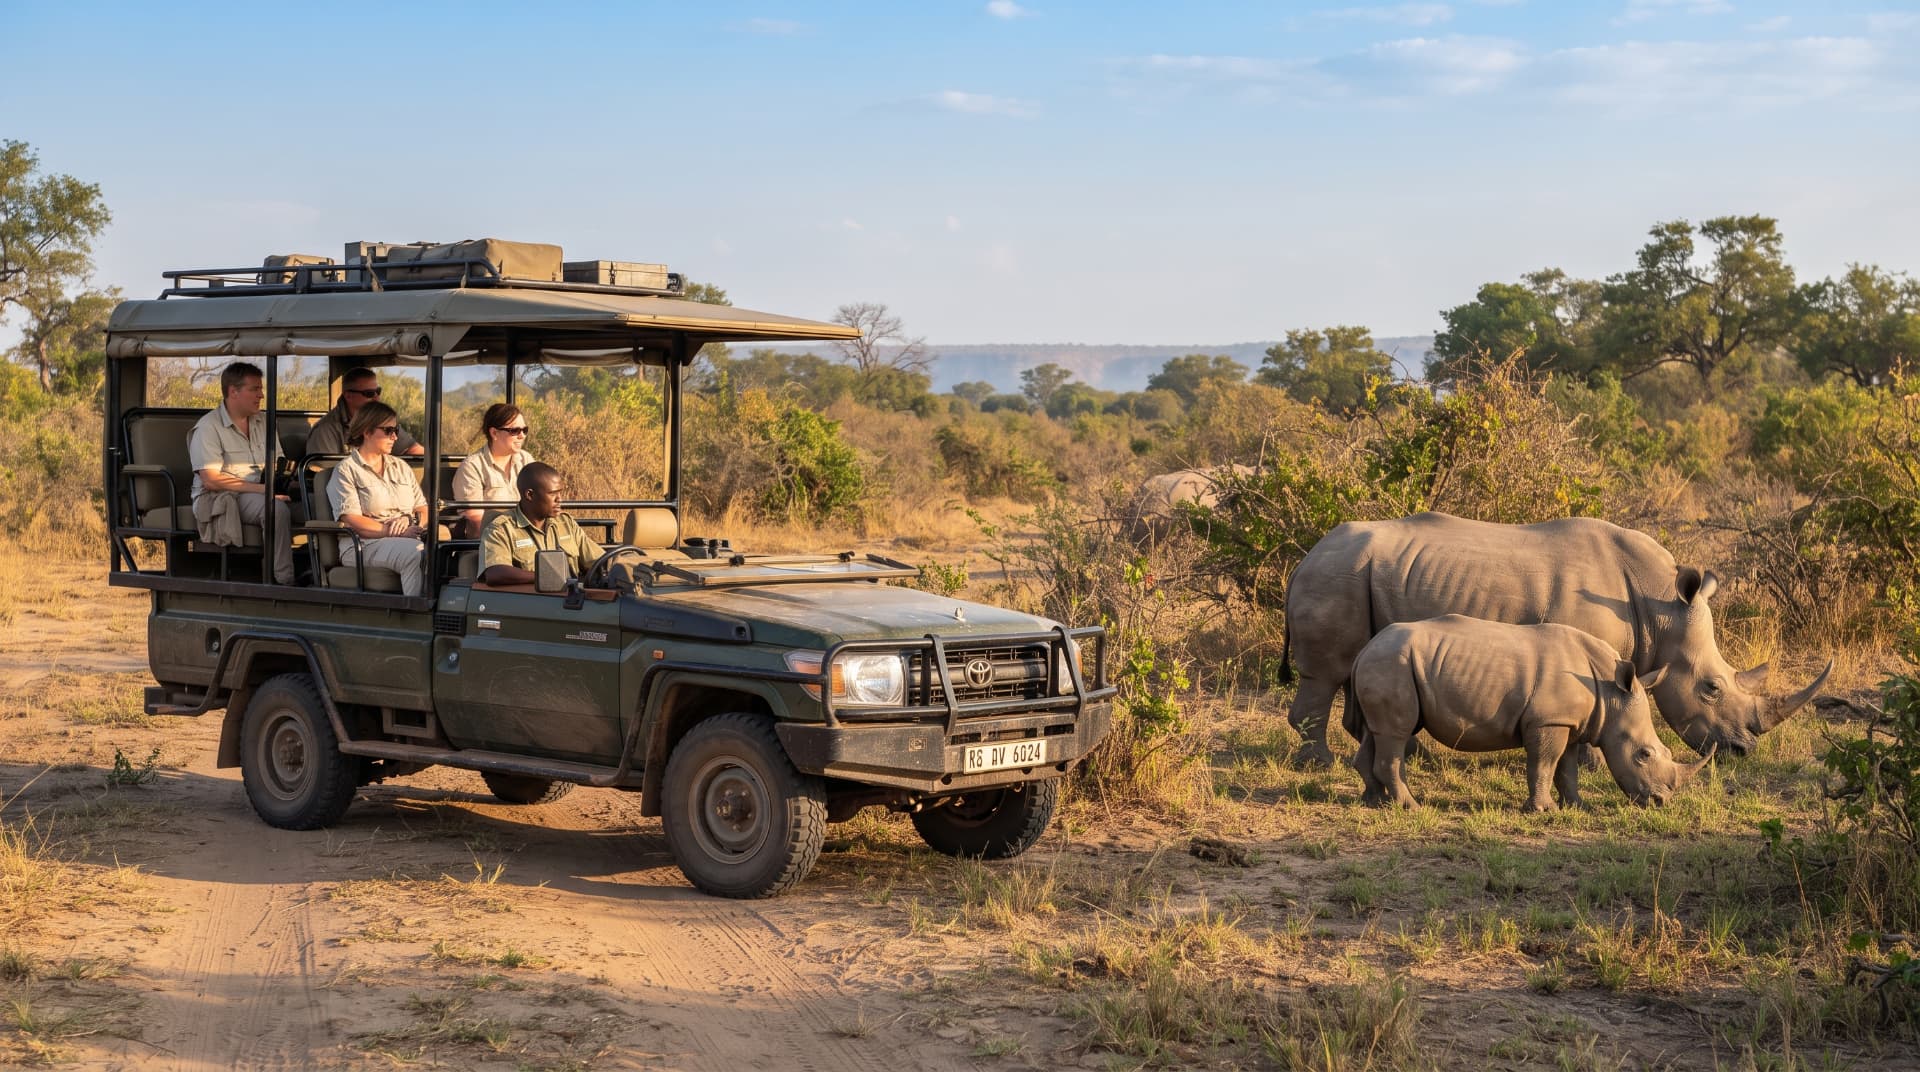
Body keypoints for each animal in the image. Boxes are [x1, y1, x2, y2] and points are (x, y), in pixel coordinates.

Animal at [1284, 512, 1831, 768]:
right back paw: (1322, 764)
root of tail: (1304, 558)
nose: (1743, 750)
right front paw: (1593, 763)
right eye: (1711, 688)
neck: (1662, 609)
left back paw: (1414, 756)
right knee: (1328, 673)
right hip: (1337, 574)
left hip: (1356, 575)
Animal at [1349, 615, 1715, 811]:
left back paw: (1374, 801)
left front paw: (1577, 806)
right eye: (1643, 754)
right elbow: (1544, 763)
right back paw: (1410, 806)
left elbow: (1567, 768)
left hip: (1386, 664)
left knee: (1377, 732)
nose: (1660, 801)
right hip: (1391, 664)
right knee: (1395, 735)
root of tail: (1364, 650)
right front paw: (1543, 809)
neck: (1611, 694)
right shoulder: (1548, 721)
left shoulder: (1570, 722)